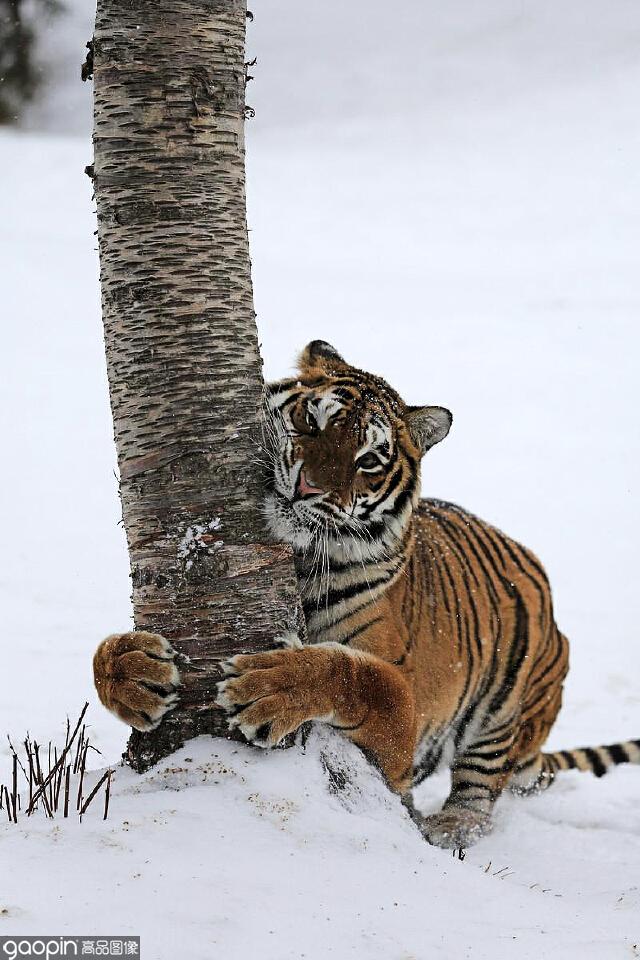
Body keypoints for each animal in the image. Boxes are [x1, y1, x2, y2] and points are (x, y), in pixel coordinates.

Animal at [95, 340, 640, 848]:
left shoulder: (402, 728)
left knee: (479, 794)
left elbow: (356, 674)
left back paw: (446, 831)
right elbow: (106, 655)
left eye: (370, 460)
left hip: (509, 706)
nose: (308, 489)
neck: (300, 565)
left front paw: (269, 687)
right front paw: (131, 670)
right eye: (310, 421)